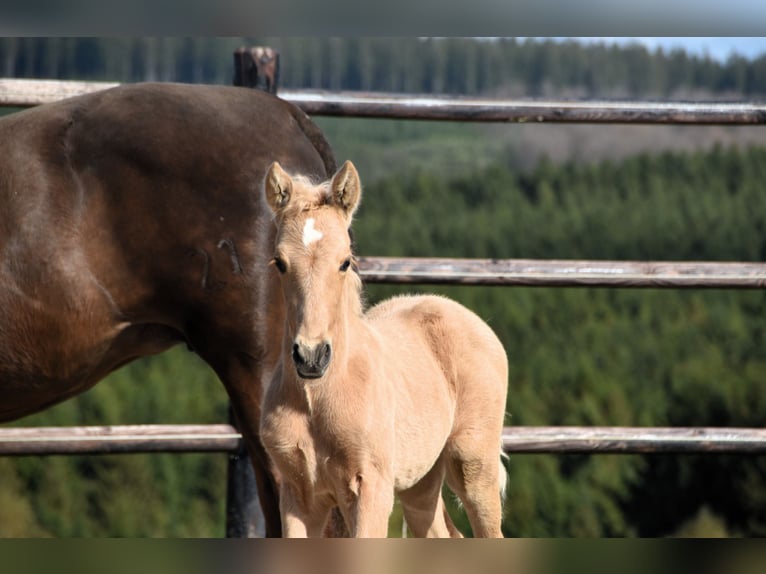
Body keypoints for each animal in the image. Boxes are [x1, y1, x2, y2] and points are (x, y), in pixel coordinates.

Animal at [260, 161, 510, 540]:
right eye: (279, 262)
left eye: (345, 261)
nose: (311, 357)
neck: (317, 400)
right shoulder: (298, 495)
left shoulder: (371, 489)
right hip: (421, 480)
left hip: (473, 464)